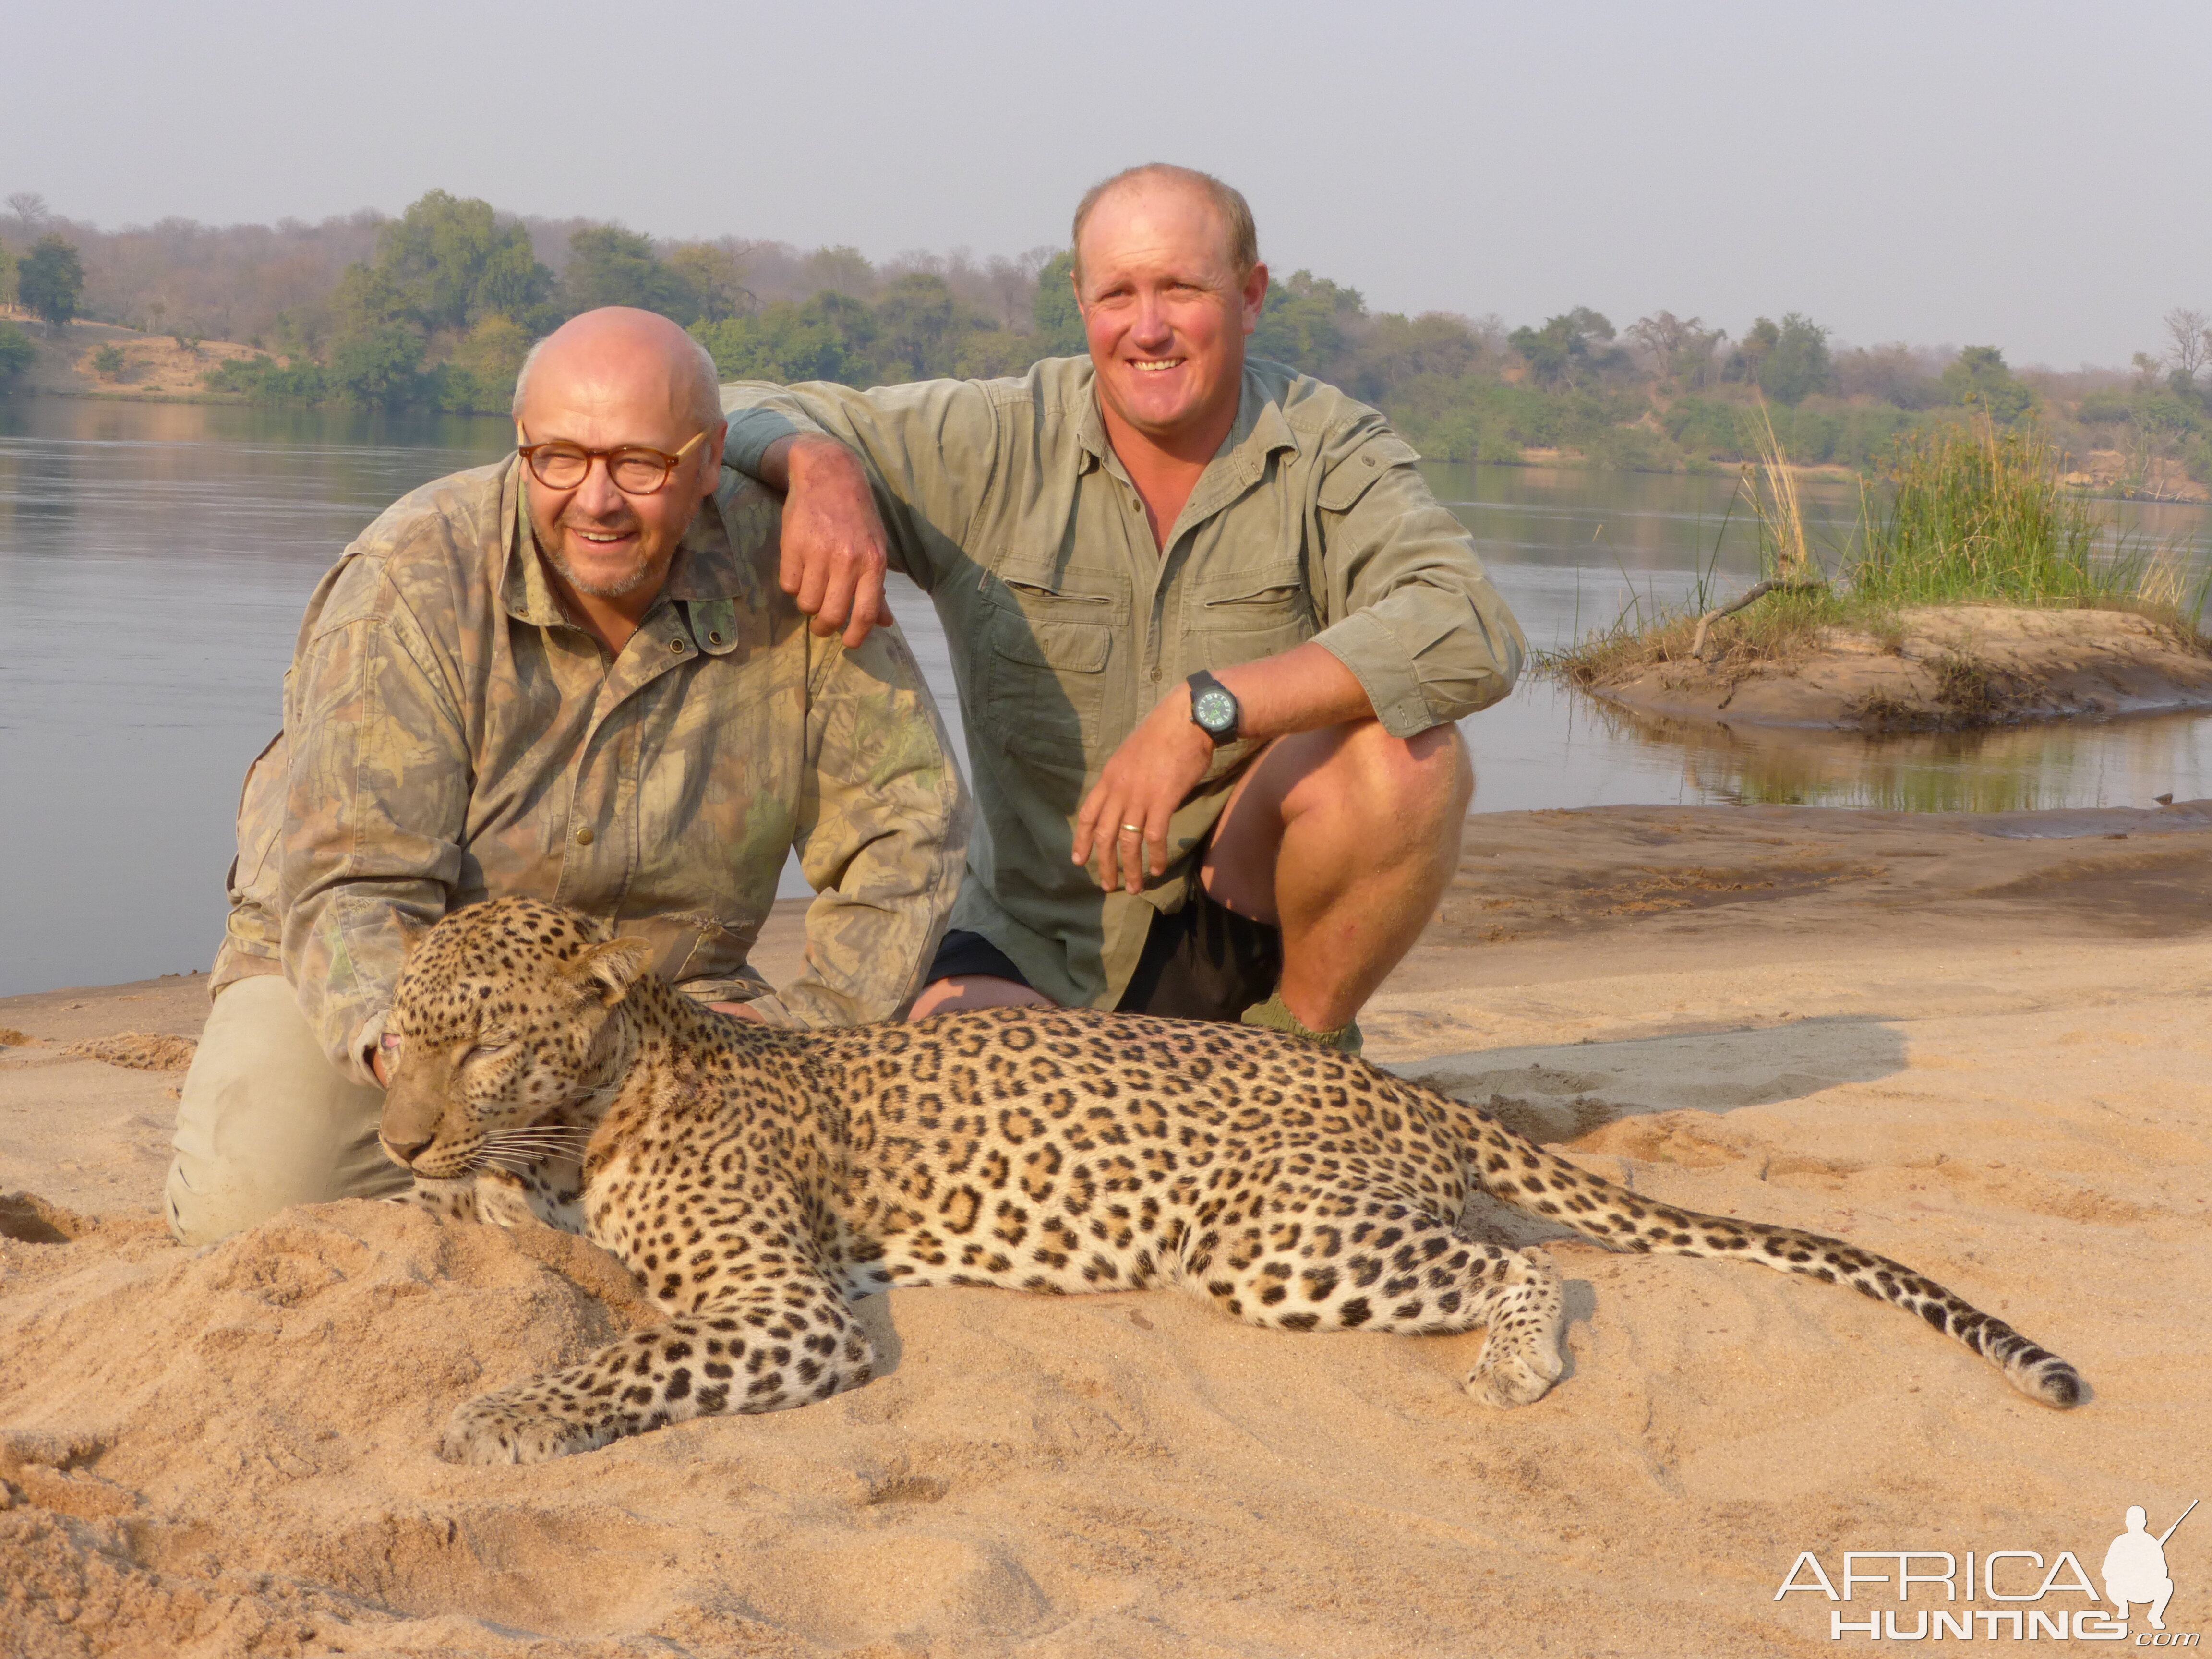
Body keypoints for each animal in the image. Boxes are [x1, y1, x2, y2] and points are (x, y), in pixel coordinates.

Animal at [372, 898, 2079, 1468]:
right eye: (392, 1042)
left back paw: (1516, 1368)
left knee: (1532, 1263)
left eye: (485, 1043)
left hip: (1277, 1243)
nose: (392, 1137)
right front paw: (472, 1212)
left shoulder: (788, 1308)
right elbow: (555, 1256)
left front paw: (496, 1415)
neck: (604, 1100)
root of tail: (1388, 1082)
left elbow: (629, 1358)